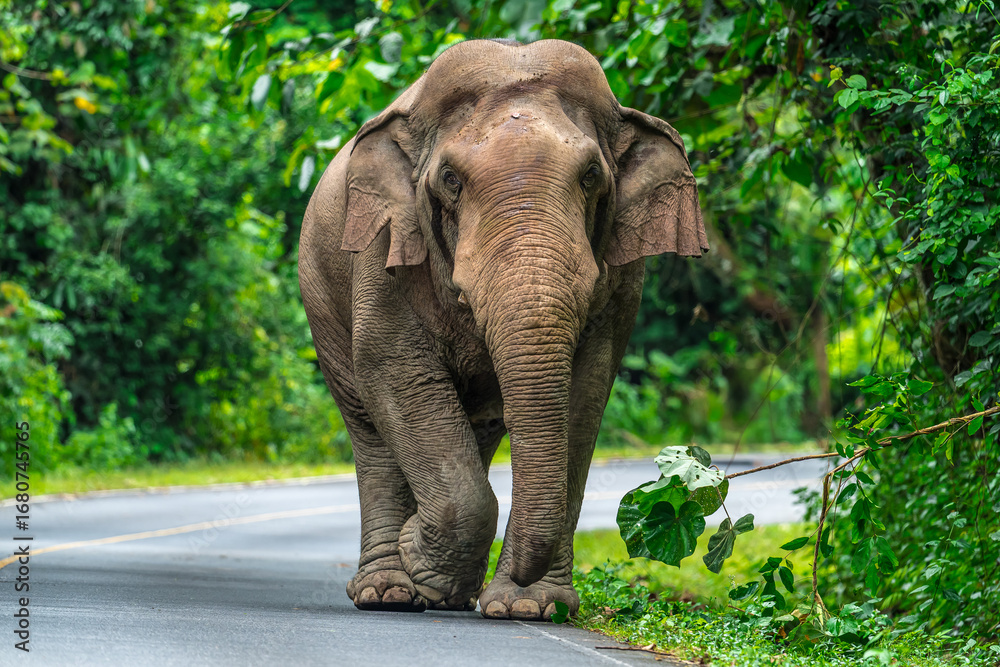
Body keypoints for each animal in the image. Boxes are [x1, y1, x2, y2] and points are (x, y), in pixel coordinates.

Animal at [298, 38, 708, 621]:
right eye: (450, 179)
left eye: (591, 175)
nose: (411, 540)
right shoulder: (382, 245)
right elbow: (393, 369)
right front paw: (419, 560)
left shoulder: (624, 274)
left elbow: (585, 393)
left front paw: (527, 607)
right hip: (323, 300)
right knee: (368, 428)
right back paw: (390, 593)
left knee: (480, 427)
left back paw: (447, 594)